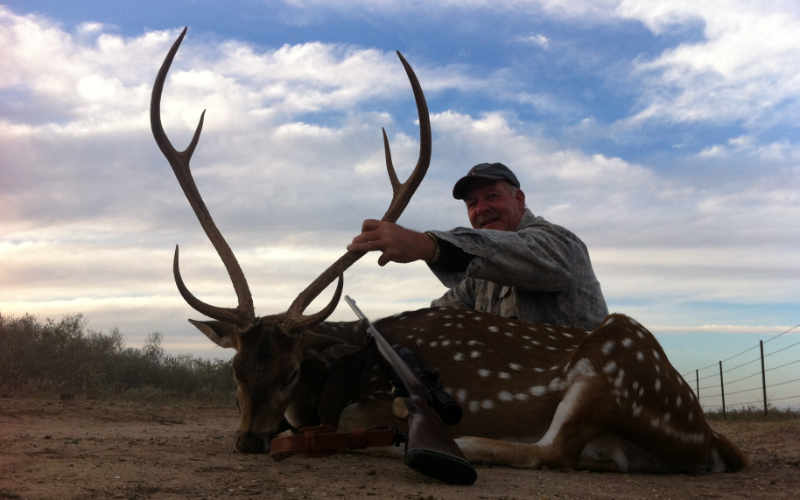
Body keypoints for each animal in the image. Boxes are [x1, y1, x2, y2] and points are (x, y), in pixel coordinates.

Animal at [152, 28, 752, 476]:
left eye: (294, 371)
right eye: (234, 369)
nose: (249, 441)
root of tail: (709, 436)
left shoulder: (363, 403)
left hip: (616, 363)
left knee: (553, 450)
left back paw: (449, 445)